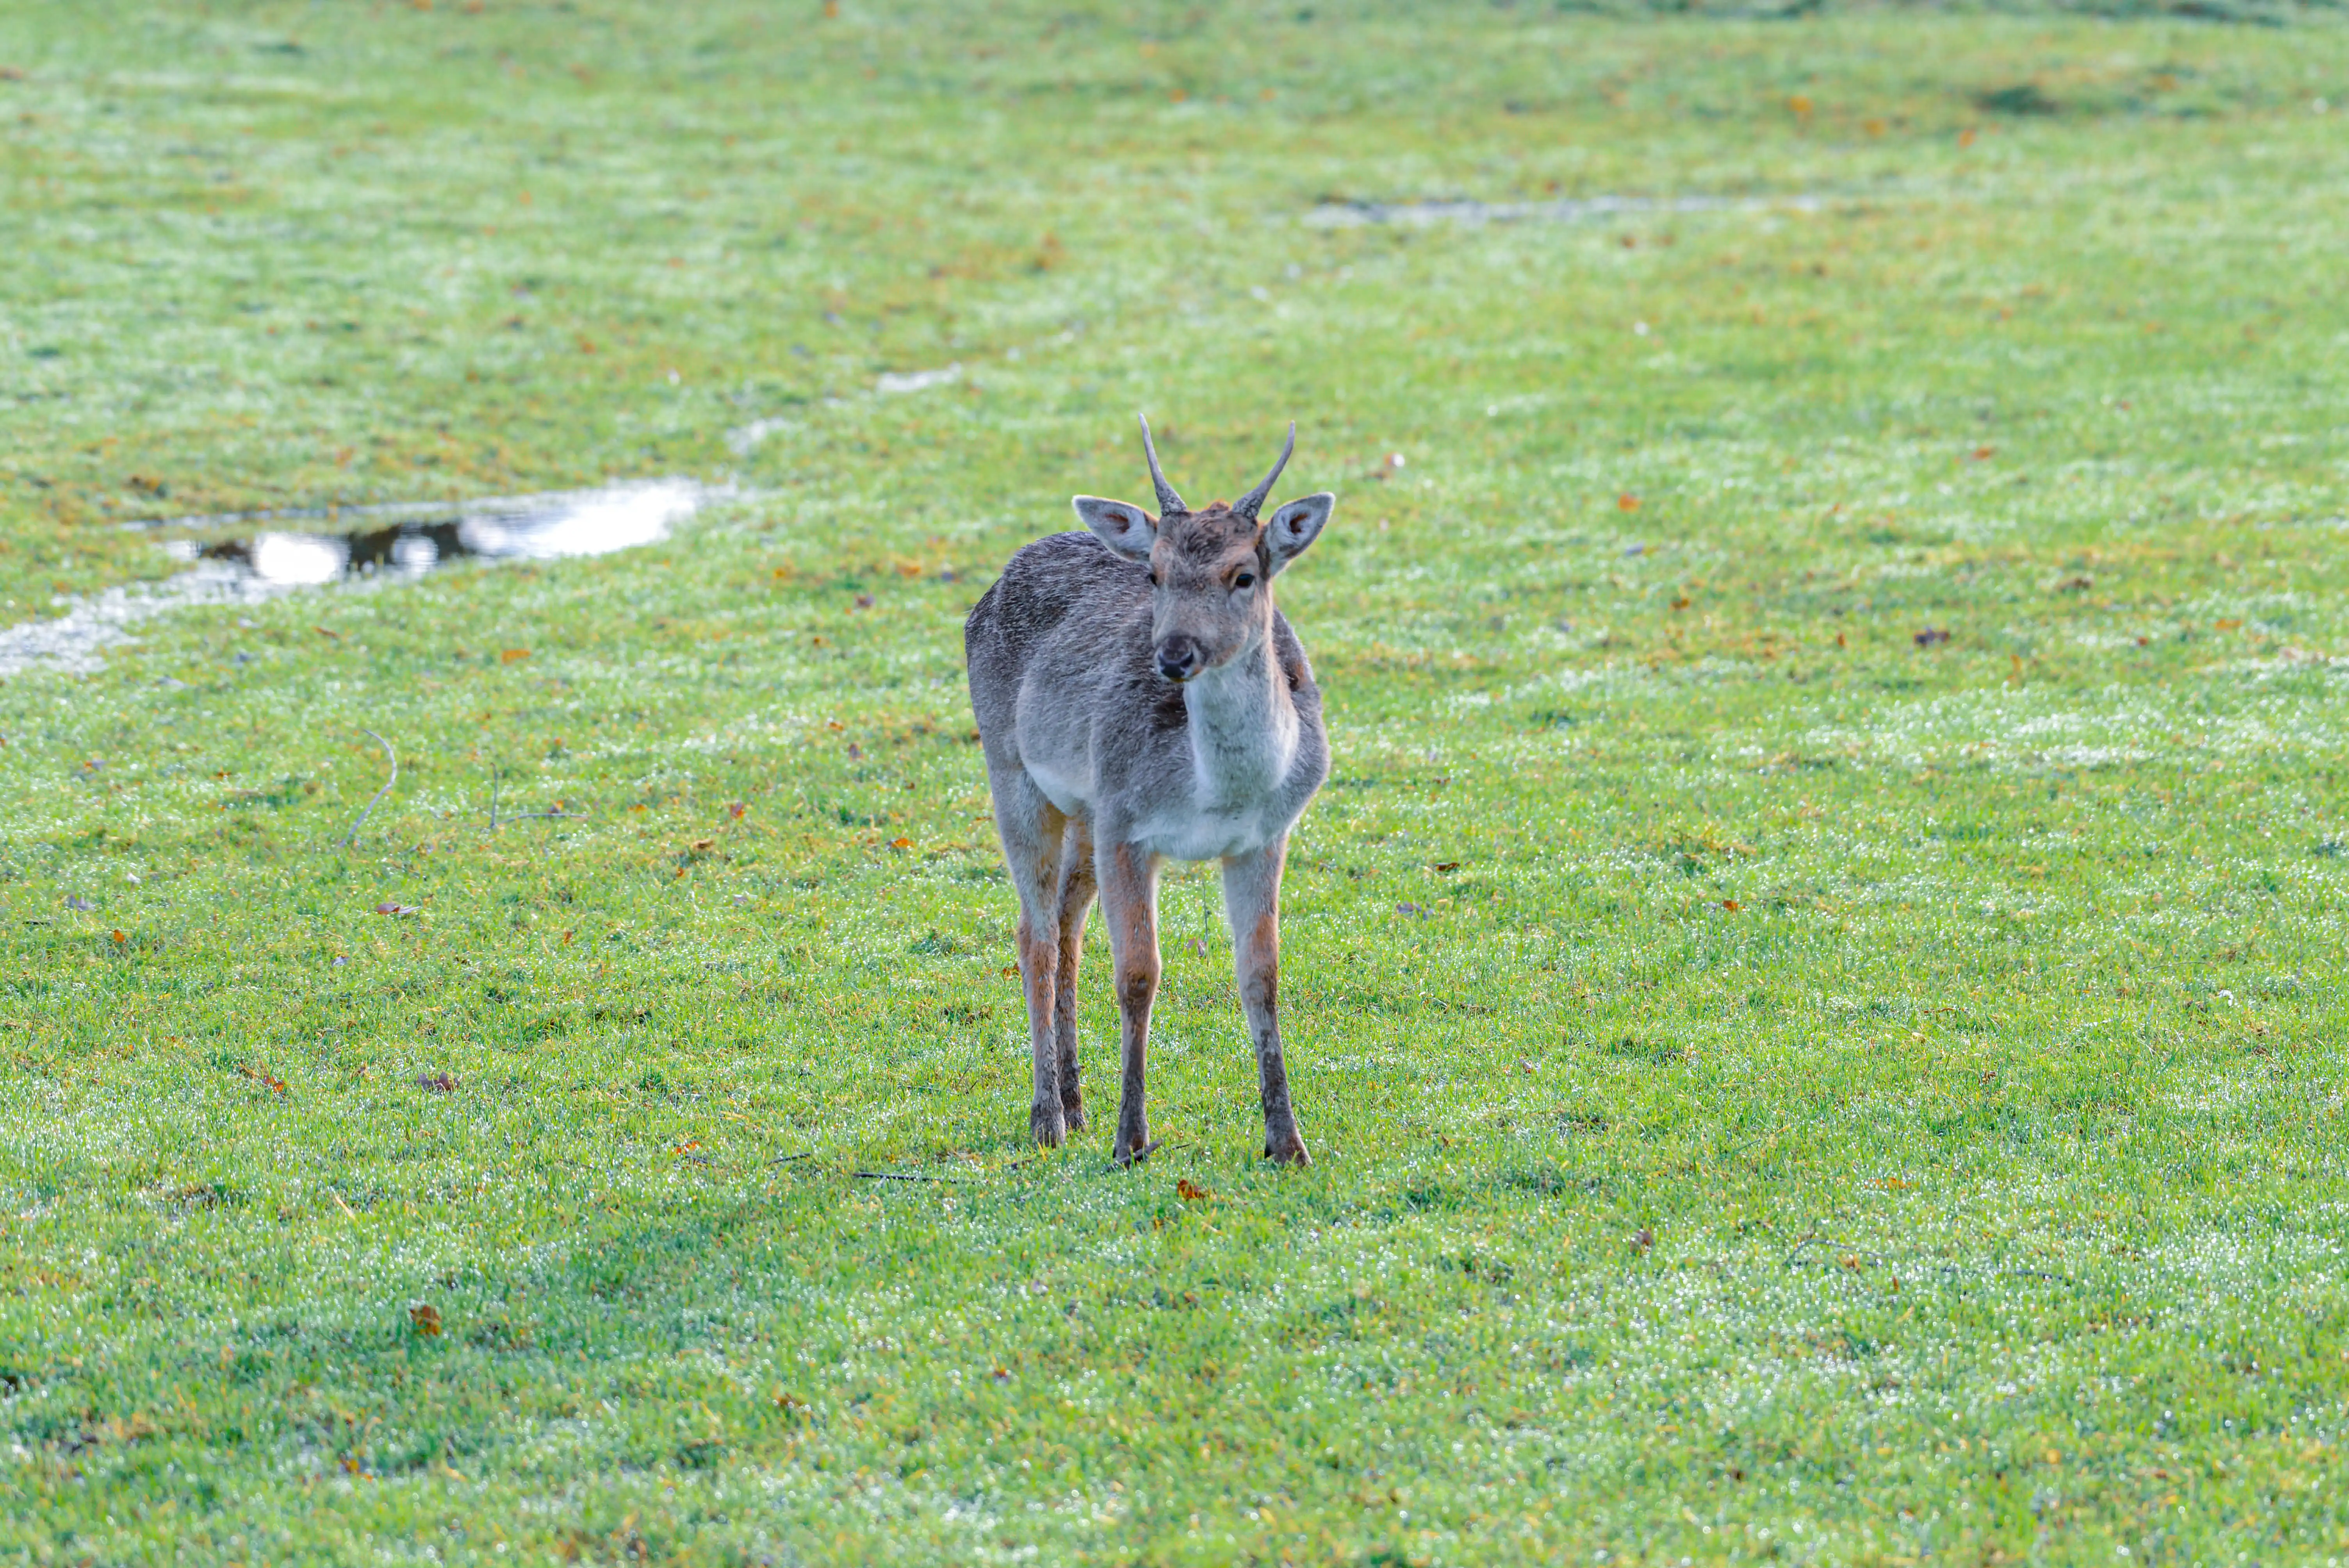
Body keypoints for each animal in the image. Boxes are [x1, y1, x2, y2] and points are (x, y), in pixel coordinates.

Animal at [964, 417, 1335, 1167]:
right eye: (1155, 574)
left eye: (1244, 574)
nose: (1173, 654)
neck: (1214, 794)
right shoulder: (1127, 825)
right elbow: (1139, 974)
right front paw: (1131, 1139)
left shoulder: (1264, 837)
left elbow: (1263, 975)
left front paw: (1287, 1143)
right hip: (1012, 771)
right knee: (1035, 933)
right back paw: (1048, 1118)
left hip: (1083, 808)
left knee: (1067, 924)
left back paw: (1076, 1103)